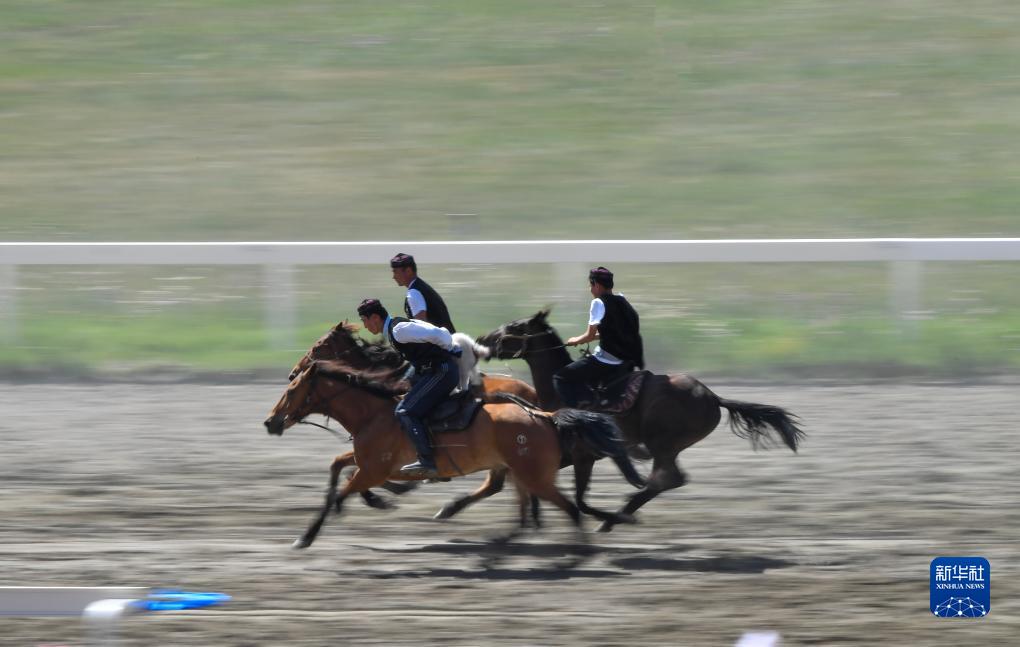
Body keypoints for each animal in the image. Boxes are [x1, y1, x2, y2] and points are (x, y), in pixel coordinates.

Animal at [261, 361, 628, 546]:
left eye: (291, 390)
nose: (270, 421)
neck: (375, 413)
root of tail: (544, 415)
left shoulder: (375, 468)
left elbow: (342, 491)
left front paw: (309, 534)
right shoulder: (367, 462)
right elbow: (337, 469)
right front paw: (379, 500)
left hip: (527, 471)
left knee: (540, 497)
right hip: (512, 466)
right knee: (510, 491)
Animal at [473, 310, 807, 530]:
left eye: (515, 326)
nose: (482, 339)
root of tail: (713, 397)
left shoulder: (582, 454)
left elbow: (578, 498)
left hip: (664, 443)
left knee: (668, 479)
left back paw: (620, 514)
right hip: (666, 446)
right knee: (667, 479)